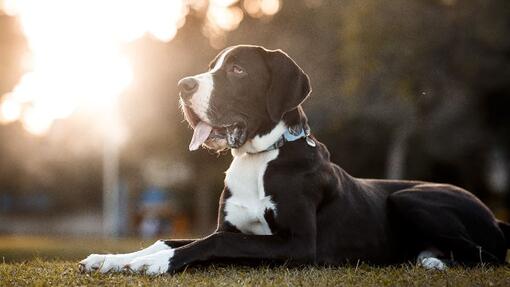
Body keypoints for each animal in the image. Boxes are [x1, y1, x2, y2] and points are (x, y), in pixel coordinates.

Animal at [79, 45, 510, 276]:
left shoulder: (300, 245)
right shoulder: (234, 229)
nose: (183, 85)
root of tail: (496, 218)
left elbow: (211, 241)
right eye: (213, 66)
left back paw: (434, 261)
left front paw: (155, 265)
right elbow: (170, 237)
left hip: (410, 197)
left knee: (487, 255)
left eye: (237, 70)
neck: (260, 157)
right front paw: (111, 259)